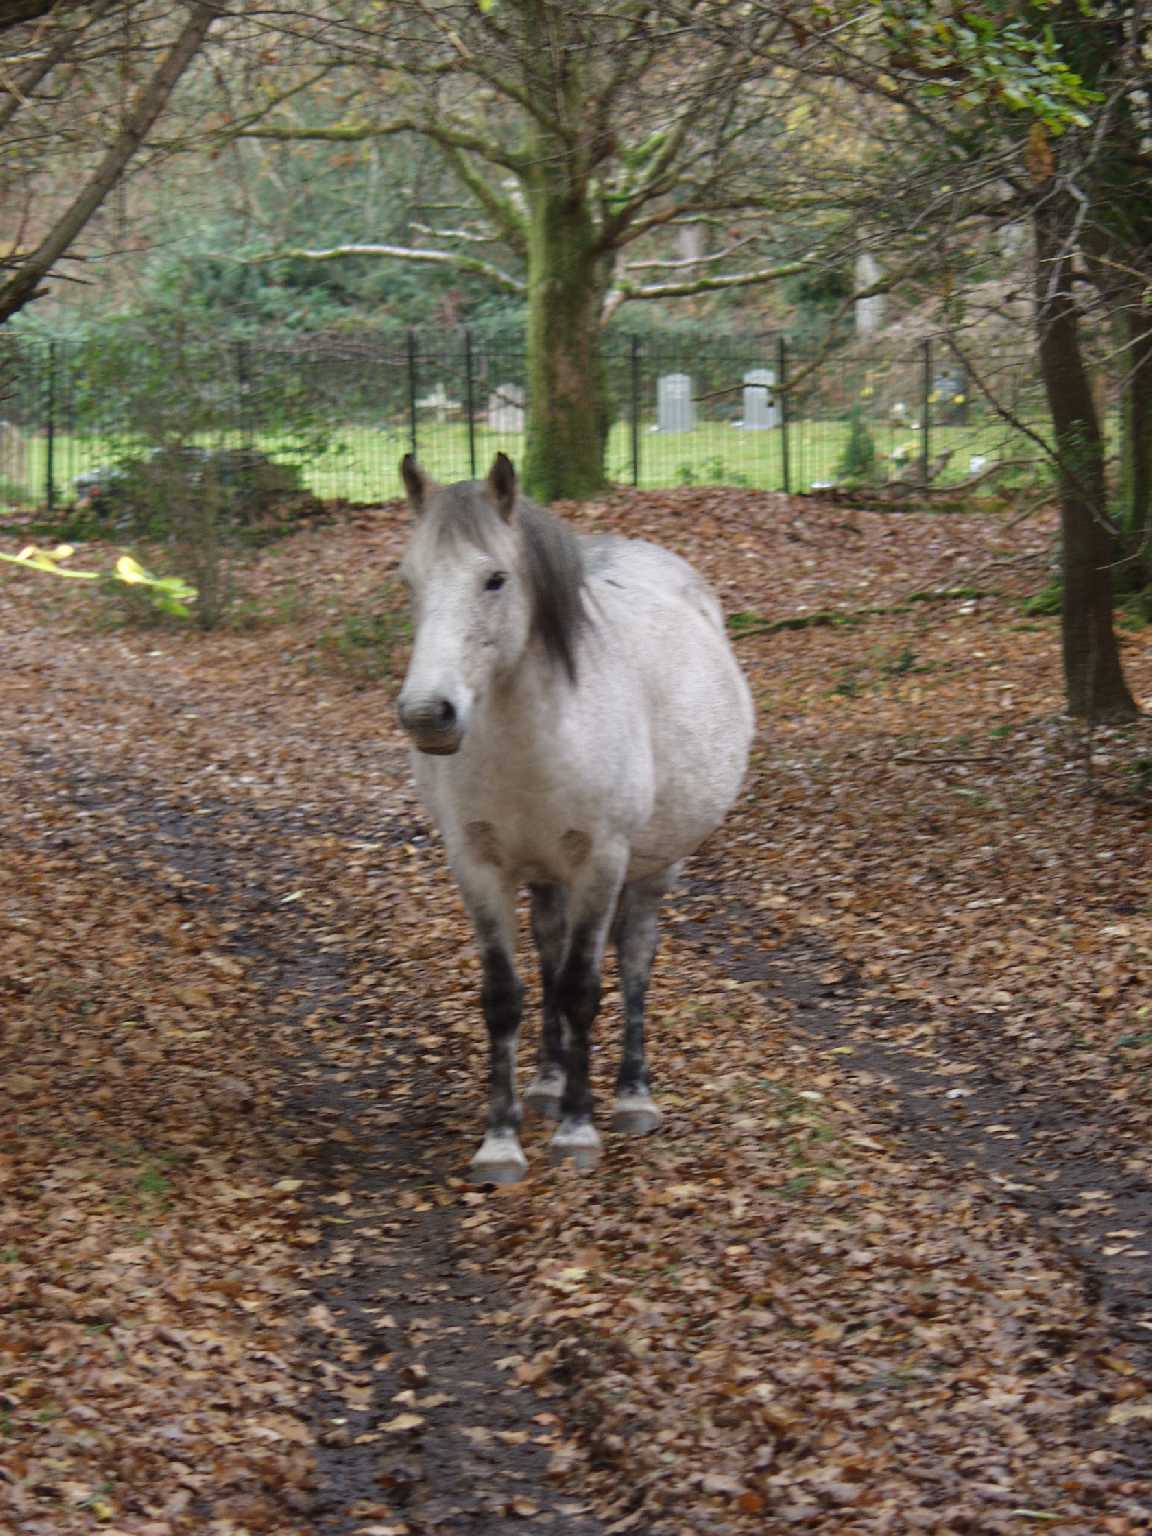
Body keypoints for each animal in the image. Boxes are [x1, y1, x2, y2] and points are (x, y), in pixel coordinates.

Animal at [396, 452, 754, 1184]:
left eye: (495, 579)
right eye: (410, 580)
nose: (427, 715)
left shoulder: (601, 861)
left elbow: (585, 990)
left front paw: (577, 1132)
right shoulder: (477, 866)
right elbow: (506, 995)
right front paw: (501, 1140)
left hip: (653, 869)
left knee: (633, 958)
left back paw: (630, 1095)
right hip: (545, 874)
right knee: (550, 957)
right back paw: (547, 1083)